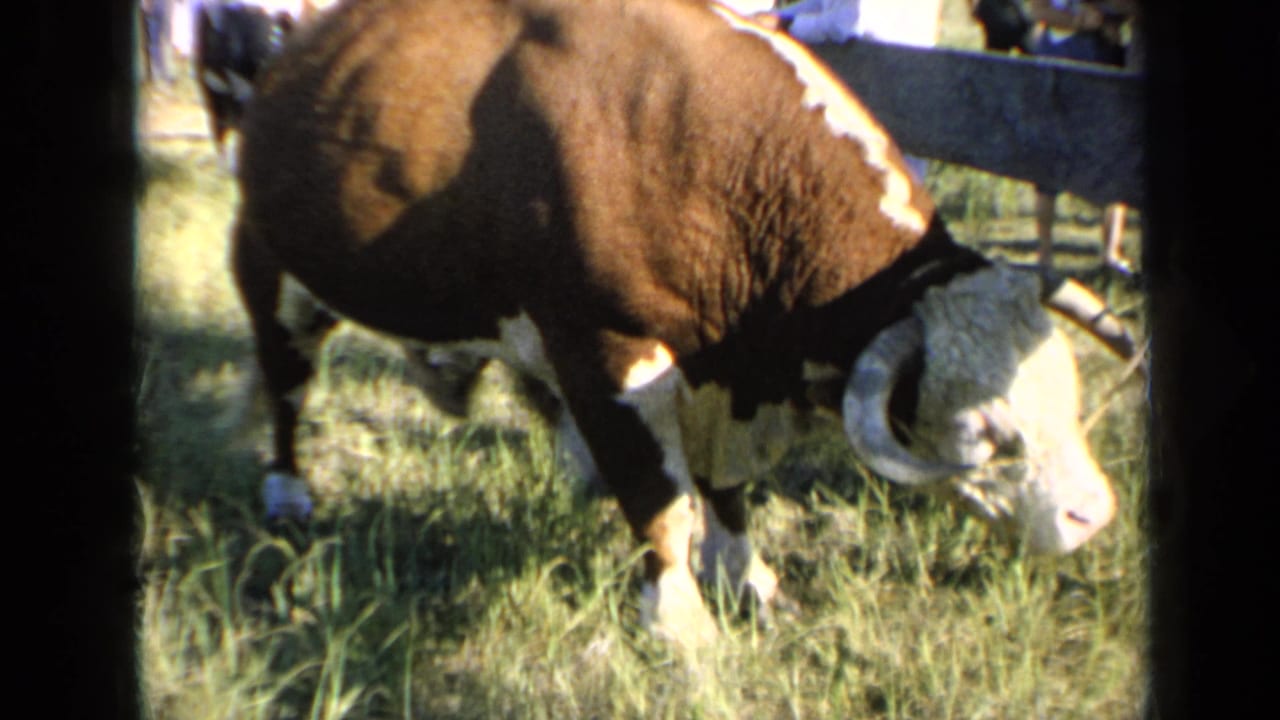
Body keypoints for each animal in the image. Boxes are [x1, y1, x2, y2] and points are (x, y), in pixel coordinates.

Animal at [230, 0, 1138, 646]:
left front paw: (748, 581)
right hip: (272, 272)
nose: (1094, 516)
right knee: (285, 386)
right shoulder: (608, 354)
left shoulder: (719, 376)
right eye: (984, 432)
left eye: (1068, 393)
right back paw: (286, 493)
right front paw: (680, 625)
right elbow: (660, 500)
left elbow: (725, 489)